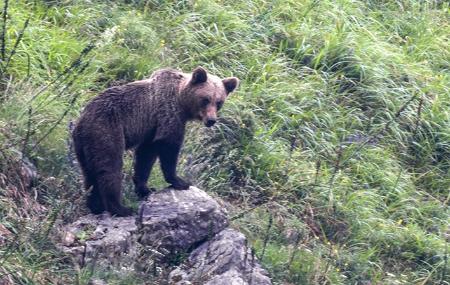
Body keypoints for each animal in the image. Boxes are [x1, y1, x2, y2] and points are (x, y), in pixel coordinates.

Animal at [72, 67, 239, 215]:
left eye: (219, 102)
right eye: (205, 99)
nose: (211, 120)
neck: (181, 101)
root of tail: (81, 122)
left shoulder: (152, 129)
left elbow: (146, 156)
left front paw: (145, 188)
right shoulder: (168, 114)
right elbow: (169, 146)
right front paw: (180, 181)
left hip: (84, 146)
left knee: (89, 173)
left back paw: (96, 206)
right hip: (106, 131)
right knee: (109, 167)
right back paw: (120, 208)